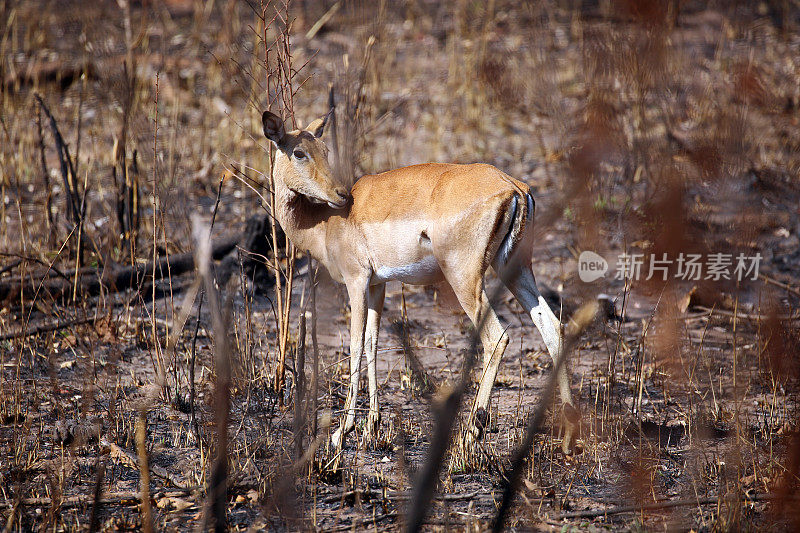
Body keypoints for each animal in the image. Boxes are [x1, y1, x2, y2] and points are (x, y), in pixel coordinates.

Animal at [262, 109, 580, 454]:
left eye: (323, 150)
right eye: (300, 151)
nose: (340, 195)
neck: (326, 223)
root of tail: (515, 187)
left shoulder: (356, 281)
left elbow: (355, 345)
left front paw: (341, 432)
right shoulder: (377, 285)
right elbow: (373, 343)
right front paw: (371, 426)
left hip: (465, 280)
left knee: (497, 337)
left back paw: (470, 435)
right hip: (516, 269)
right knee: (553, 328)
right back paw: (567, 437)